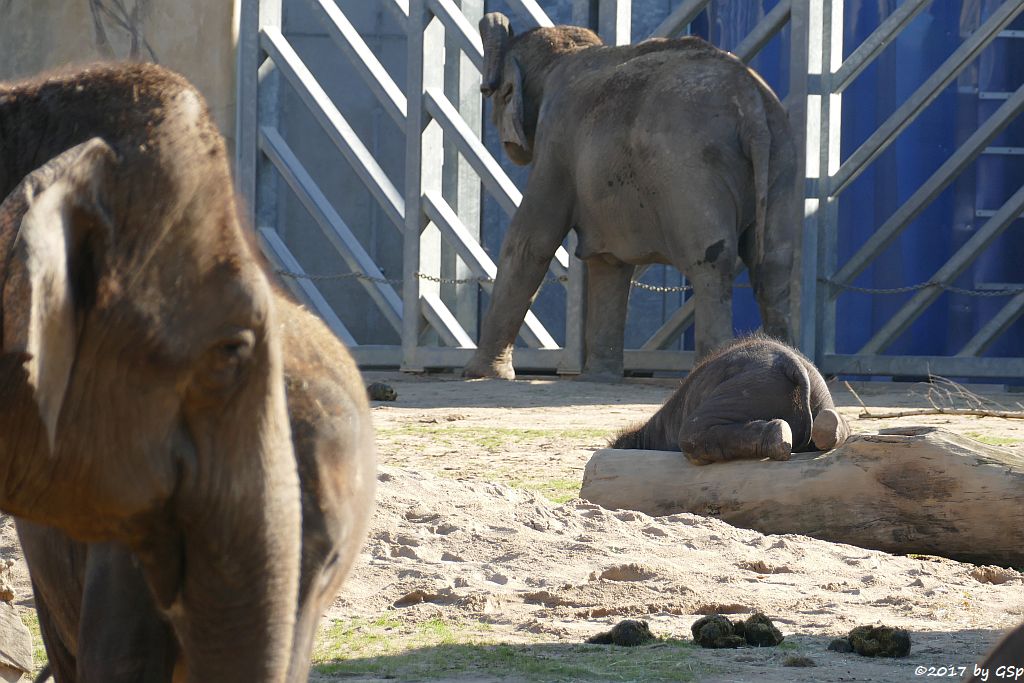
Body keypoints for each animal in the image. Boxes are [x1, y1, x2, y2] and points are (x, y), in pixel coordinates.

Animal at [464, 13, 798, 382]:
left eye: (491, 93)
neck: (567, 52)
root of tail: (750, 101)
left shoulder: (555, 141)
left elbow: (530, 242)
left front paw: (480, 375)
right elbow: (607, 261)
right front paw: (599, 378)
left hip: (691, 170)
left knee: (712, 260)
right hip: (781, 156)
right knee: (774, 265)